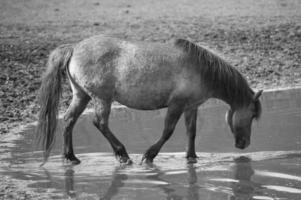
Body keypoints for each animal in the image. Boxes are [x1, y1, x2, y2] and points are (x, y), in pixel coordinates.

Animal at [36, 34, 262, 166]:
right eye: (252, 115)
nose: (244, 144)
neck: (201, 70)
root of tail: (73, 48)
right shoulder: (176, 105)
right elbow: (168, 131)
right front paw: (149, 156)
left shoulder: (191, 107)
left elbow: (191, 132)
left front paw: (192, 158)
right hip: (102, 99)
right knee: (100, 123)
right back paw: (123, 155)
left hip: (81, 96)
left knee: (69, 121)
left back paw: (71, 158)